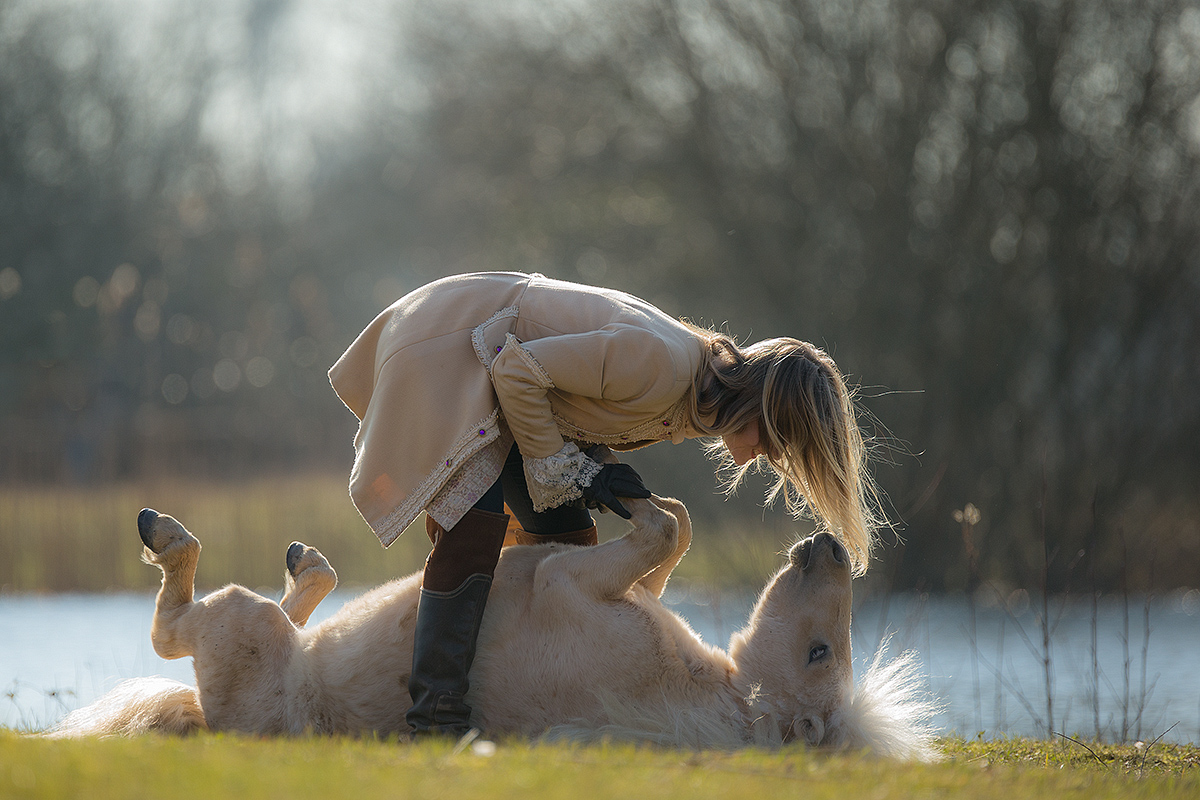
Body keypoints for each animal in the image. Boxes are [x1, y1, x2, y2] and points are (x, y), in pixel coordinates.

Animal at [51, 494, 936, 758]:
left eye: (821, 651)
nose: (830, 547)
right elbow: (675, 534)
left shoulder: (568, 581)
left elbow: (658, 532)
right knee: (308, 596)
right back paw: (306, 560)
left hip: (239, 627)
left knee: (179, 620)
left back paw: (165, 531)